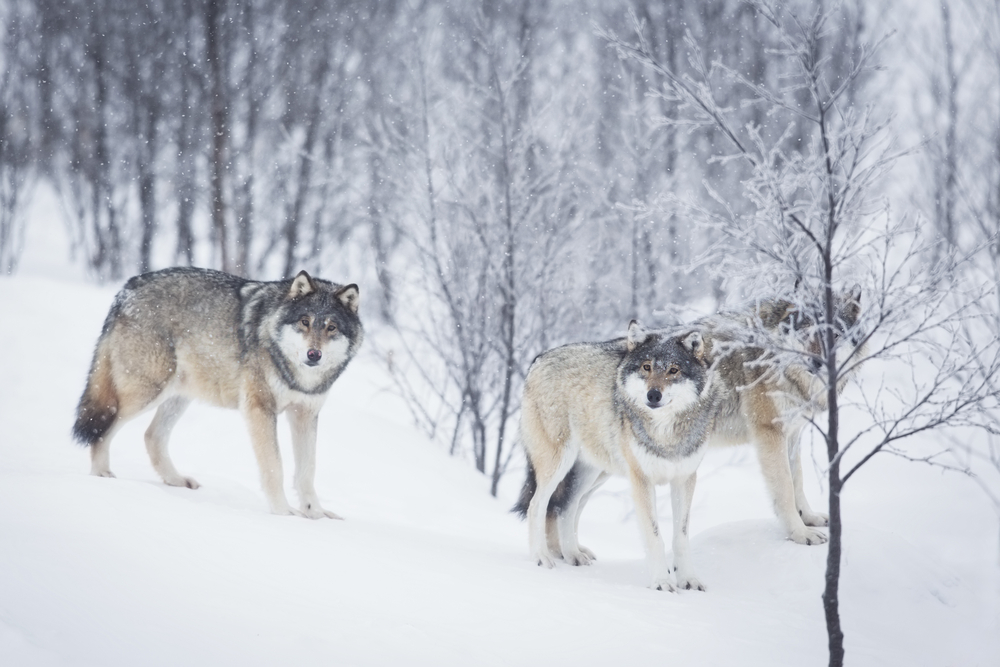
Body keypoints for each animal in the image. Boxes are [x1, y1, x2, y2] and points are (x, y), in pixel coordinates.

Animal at [74, 268, 364, 520]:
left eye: (331, 328)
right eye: (305, 322)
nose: (313, 354)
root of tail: (127, 287)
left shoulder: (305, 414)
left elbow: (307, 471)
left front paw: (316, 514)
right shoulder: (260, 408)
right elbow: (274, 466)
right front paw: (284, 513)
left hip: (178, 396)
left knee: (151, 436)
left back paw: (175, 480)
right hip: (146, 392)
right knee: (102, 426)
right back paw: (101, 475)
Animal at [516, 320, 720, 592]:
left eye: (674, 370)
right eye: (646, 367)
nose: (653, 395)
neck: (665, 432)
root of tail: (538, 359)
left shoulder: (684, 478)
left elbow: (681, 537)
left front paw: (689, 580)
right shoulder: (641, 480)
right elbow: (654, 537)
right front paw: (661, 583)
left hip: (594, 473)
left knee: (566, 507)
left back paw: (573, 555)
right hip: (558, 464)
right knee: (537, 505)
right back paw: (540, 557)